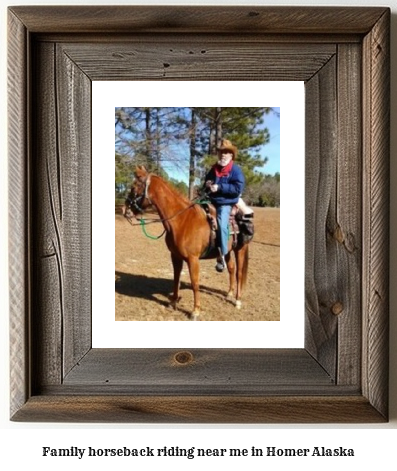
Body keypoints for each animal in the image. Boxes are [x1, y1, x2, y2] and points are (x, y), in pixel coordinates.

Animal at [123, 166, 251, 320]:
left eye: (134, 186)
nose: (124, 210)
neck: (182, 220)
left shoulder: (193, 259)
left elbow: (195, 283)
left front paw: (195, 311)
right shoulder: (175, 256)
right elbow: (176, 278)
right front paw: (173, 302)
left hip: (240, 249)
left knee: (238, 273)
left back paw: (237, 300)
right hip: (227, 251)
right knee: (231, 269)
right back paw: (229, 293)